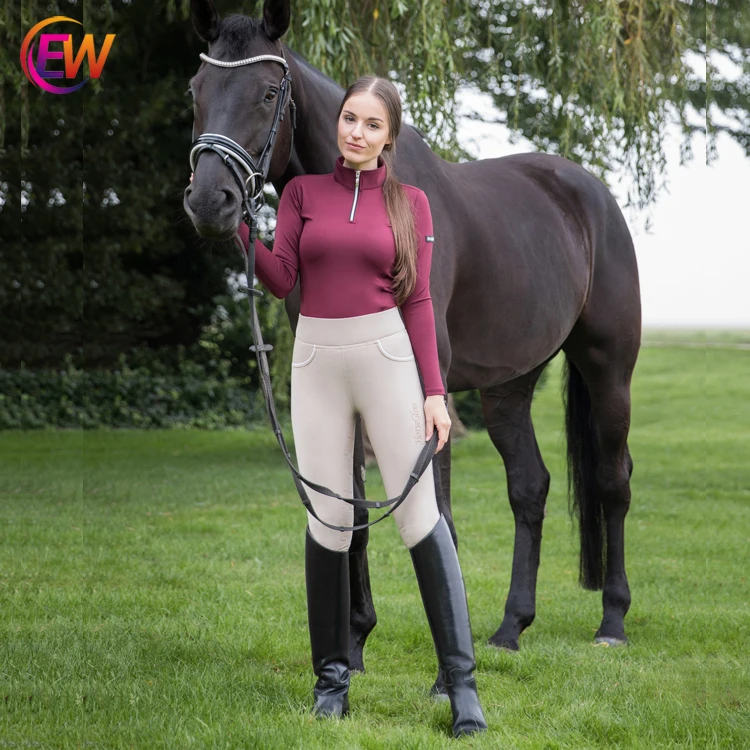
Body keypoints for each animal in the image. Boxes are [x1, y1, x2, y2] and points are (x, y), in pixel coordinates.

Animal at [183, 0, 641, 673]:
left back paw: (611, 621)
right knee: (529, 487)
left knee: (612, 481)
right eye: (196, 90)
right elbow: (349, 504)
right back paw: (510, 628)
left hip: (608, 368)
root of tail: (591, 194)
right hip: (510, 387)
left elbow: (437, 512)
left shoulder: (429, 388)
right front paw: (354, 644)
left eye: (268, 92)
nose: (210, 201)